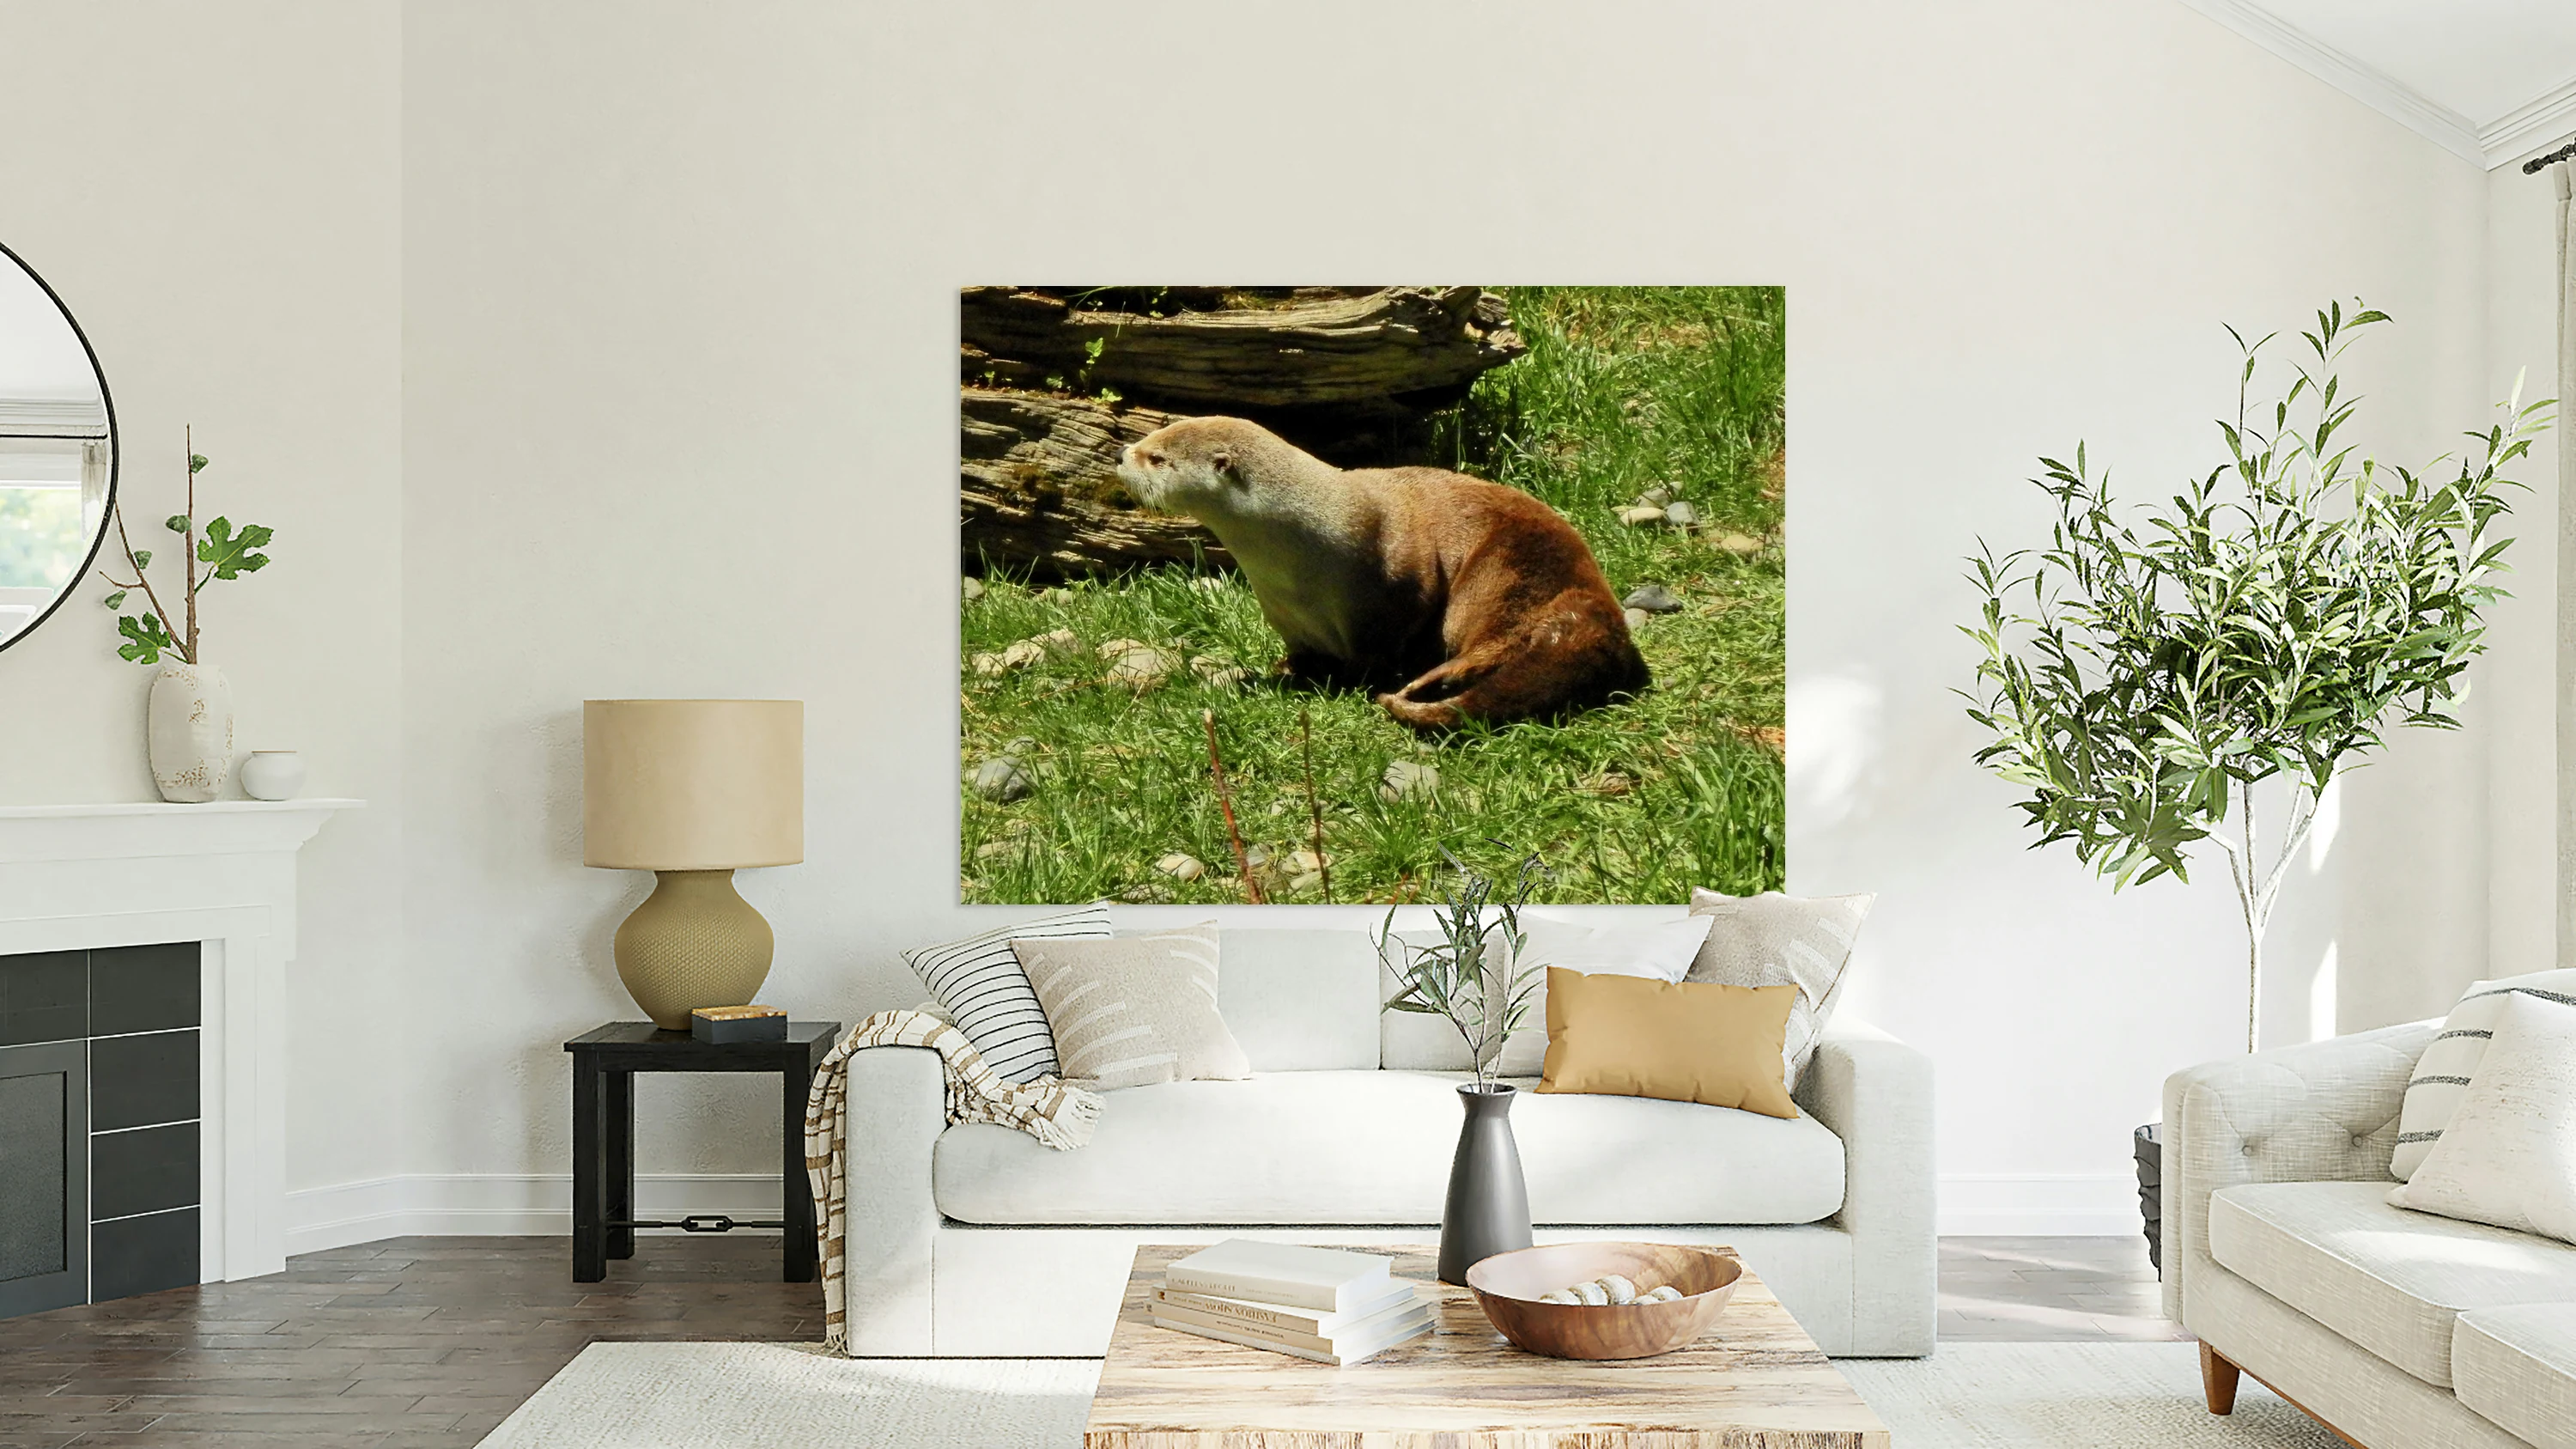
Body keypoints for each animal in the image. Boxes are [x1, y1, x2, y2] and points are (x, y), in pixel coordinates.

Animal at [1115, 416, 1647, 729]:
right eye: (1148, 440)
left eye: (1157, 458)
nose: (1122, 455)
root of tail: (1595, 618)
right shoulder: (1284, 613)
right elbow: (1301, 653)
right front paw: (1287, 670)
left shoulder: (1398, 577)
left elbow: (1388, 638)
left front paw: (1361, 678)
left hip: (1508, 574)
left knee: (1494, 643)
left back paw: (1417, 687)